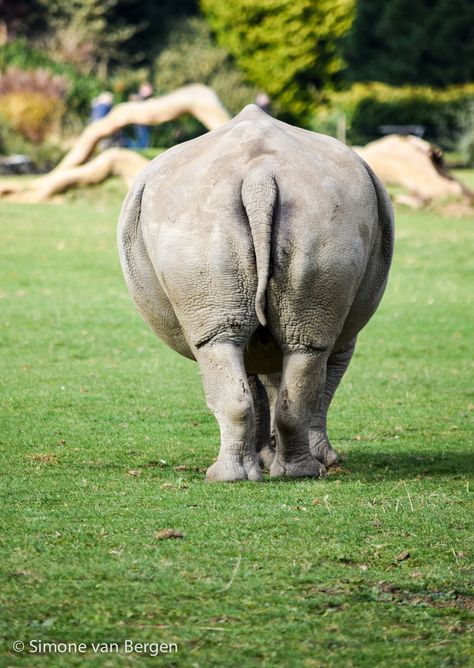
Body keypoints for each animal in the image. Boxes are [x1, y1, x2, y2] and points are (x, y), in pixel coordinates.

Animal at [118, 103, 392, 480]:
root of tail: (258, 175)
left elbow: (284, 387)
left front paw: (281, 457)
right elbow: (300, 386)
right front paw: (310, 458)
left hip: (208, 219)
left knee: (230, 344)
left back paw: (236, 476)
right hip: (317, 212)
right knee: (293, 348)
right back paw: (292, 472)